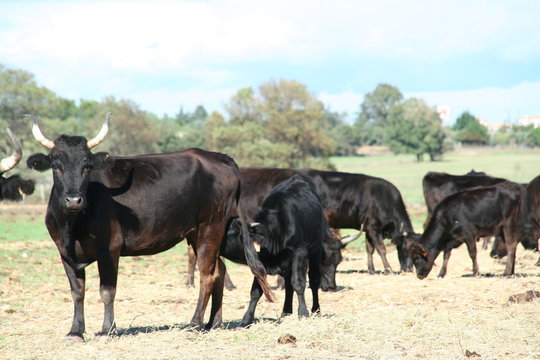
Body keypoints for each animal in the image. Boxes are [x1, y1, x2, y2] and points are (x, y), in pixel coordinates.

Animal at [25, 114, 272, 338]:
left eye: (87, 166)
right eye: (56, 166)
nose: (74, 200)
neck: (73, 226)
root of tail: (215, 156)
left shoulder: (110, 249)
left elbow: (107, 291)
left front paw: (107, 330)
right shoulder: (65, 252)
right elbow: (77, 291)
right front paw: (75, 331)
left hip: (211, 226)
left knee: (207, 275)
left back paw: (194, 324)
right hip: (198, 232)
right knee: (218, 270)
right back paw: (213, 323)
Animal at [221, 175, 332, 326]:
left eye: (231, 232)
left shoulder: (299, 252)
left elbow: (298, 283)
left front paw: (303, 312)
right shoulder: (261, 261)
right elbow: (256, 291)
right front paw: (246, 319)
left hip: (315, 250)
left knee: (314, 280)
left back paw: (316, 309)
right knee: (288, 285)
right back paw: (286, 311)